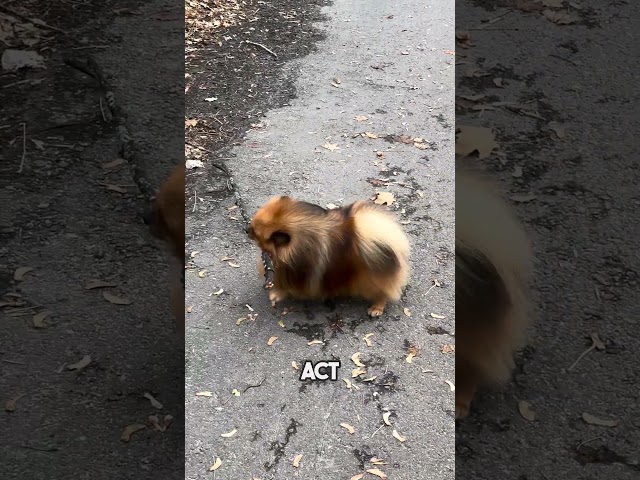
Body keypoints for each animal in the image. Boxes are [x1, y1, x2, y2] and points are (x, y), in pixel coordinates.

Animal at [248, 195, 408, 316]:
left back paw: (376, 308)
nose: (245, 229)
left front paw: (277, 294)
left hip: (369, 281)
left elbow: (286, 287)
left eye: (255, 232)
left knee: (382, 293)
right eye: (252, 225)